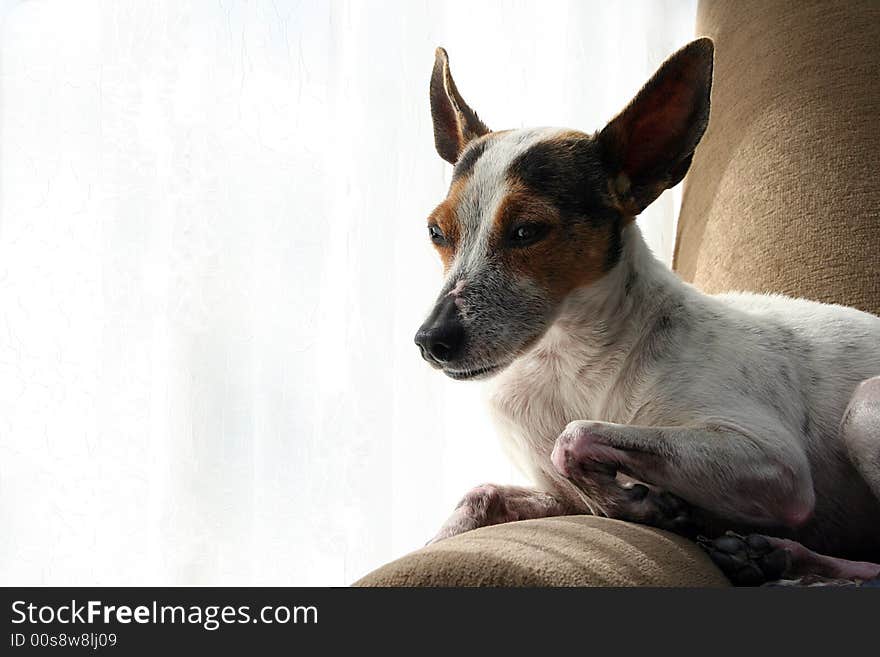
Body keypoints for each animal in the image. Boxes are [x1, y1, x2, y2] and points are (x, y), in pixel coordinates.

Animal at [414, 38, 880, 584]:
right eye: (436, 232)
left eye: (527, 230)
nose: (431, 342)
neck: (568, 361)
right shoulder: (557, 498)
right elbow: (481, 494)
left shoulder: (775, 466)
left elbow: (574, 437)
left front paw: (641, 505)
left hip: (864, 406)